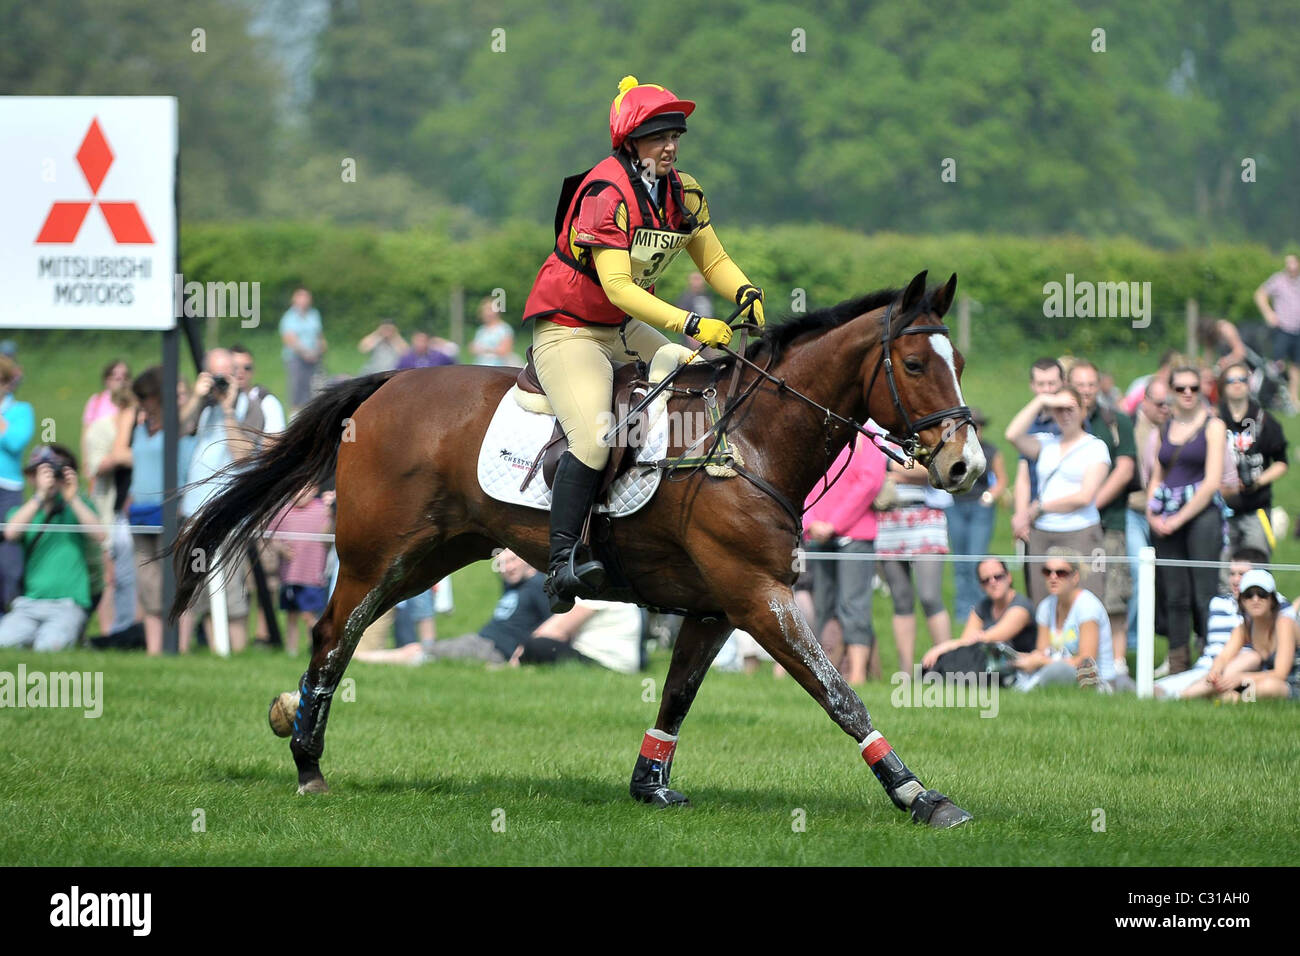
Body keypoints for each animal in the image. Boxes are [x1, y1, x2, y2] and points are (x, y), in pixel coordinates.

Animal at [172, 269, 982, 832]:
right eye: (916, 367)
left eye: (960, 362)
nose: (964, 466)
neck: (749, 440)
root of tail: (388, 385)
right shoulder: (758, 597)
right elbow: (838, 693)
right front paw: (919, 794)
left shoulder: (718, 607)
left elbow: (677, 694)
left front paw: (650, 785)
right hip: (380, 557)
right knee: (333, 635)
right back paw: (306, 757)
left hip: (431, 557)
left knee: (338, 633)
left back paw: (295, 723)